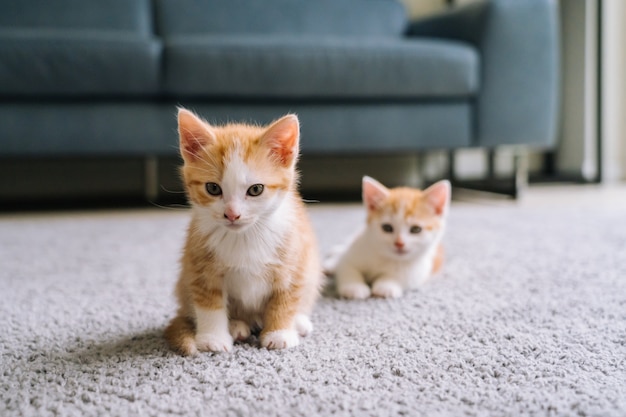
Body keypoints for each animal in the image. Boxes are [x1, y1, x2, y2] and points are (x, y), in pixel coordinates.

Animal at [163, 108, 320, 354]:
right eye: (213, 188)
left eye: (256, 189)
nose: (232, 214)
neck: (244, 236)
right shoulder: (199, 265)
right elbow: (208, 301)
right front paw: (213, 338)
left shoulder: (294, 259)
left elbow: (285, 297)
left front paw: (280, 333)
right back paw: (237, 325)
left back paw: (299, 321)